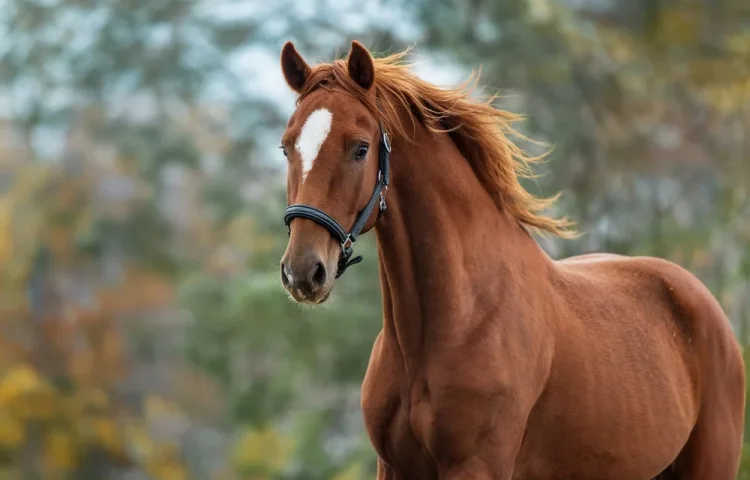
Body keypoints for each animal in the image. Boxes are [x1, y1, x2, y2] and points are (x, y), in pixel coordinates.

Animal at [280, 39, 748, 478]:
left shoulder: (476, 466)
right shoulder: (393, 467)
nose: (303, 271)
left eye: (360, 148)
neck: (458, 318)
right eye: (287, 148)